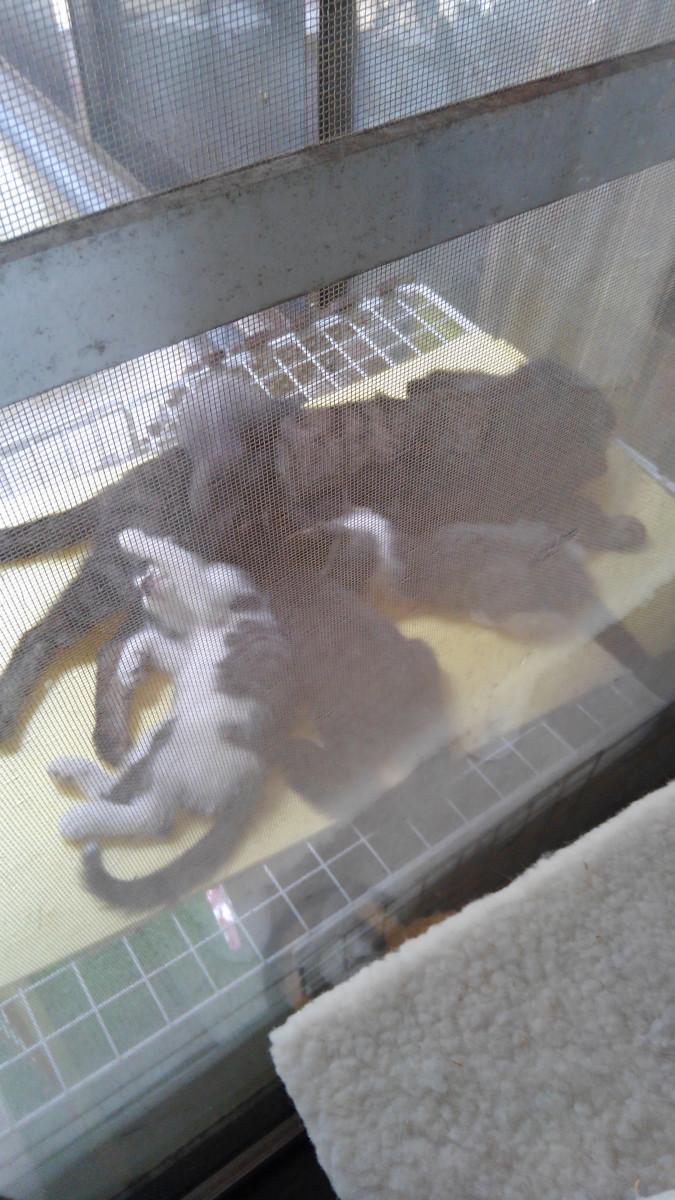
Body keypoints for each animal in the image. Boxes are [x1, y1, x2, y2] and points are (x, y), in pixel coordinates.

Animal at [48, 529, 295, 910]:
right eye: (142, 585)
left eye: (147, 569)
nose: (142, 581)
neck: (191, 622)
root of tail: (253, 776)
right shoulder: (185, 648)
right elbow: (152, 638)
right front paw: (130, 664)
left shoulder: (216, 598)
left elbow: (183, 564)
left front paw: (135, 538)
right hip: (161, 736)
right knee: (126, 791)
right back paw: (74, 775)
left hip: (186, 743)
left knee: (152, 816)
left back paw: (81, 818)